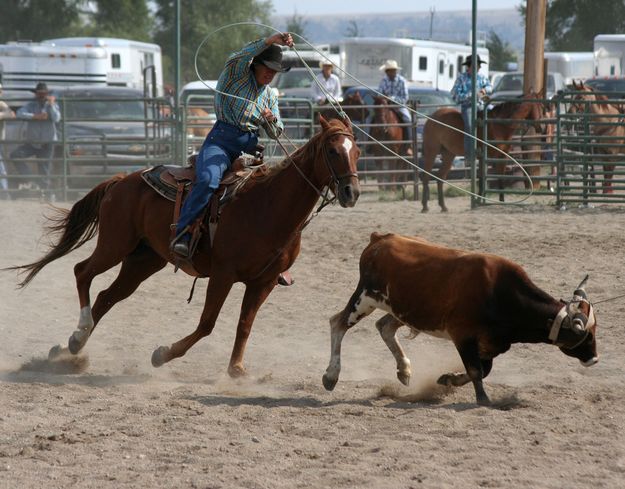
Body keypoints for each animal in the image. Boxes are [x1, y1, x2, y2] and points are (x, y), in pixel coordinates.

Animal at [7, 116, 360, 376]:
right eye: (332, 151)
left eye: (356, 152)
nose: (351, 192)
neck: (268, 205)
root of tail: (121, 180)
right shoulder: (223, 274)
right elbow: (207, 324)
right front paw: (162, 354)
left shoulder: (265, 281)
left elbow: (245, 325)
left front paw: (236, 368)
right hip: (115, 244)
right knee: (82, 272)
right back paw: (80, 331)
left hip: (143, 260)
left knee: (107, 296)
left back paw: (72, 346)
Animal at [324, 233, 596, 404]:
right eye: (585, 335)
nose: (594, 359)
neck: (499, 292)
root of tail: (380, 239)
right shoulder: (463, 336)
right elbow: (476, 370)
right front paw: (483, 399)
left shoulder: (490, 343)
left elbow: (483, 370)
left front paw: (449, 379)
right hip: (365, 298)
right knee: (338, 323)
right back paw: (331, 376)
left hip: (406, 310)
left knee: (384, 327)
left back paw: (404, 369)